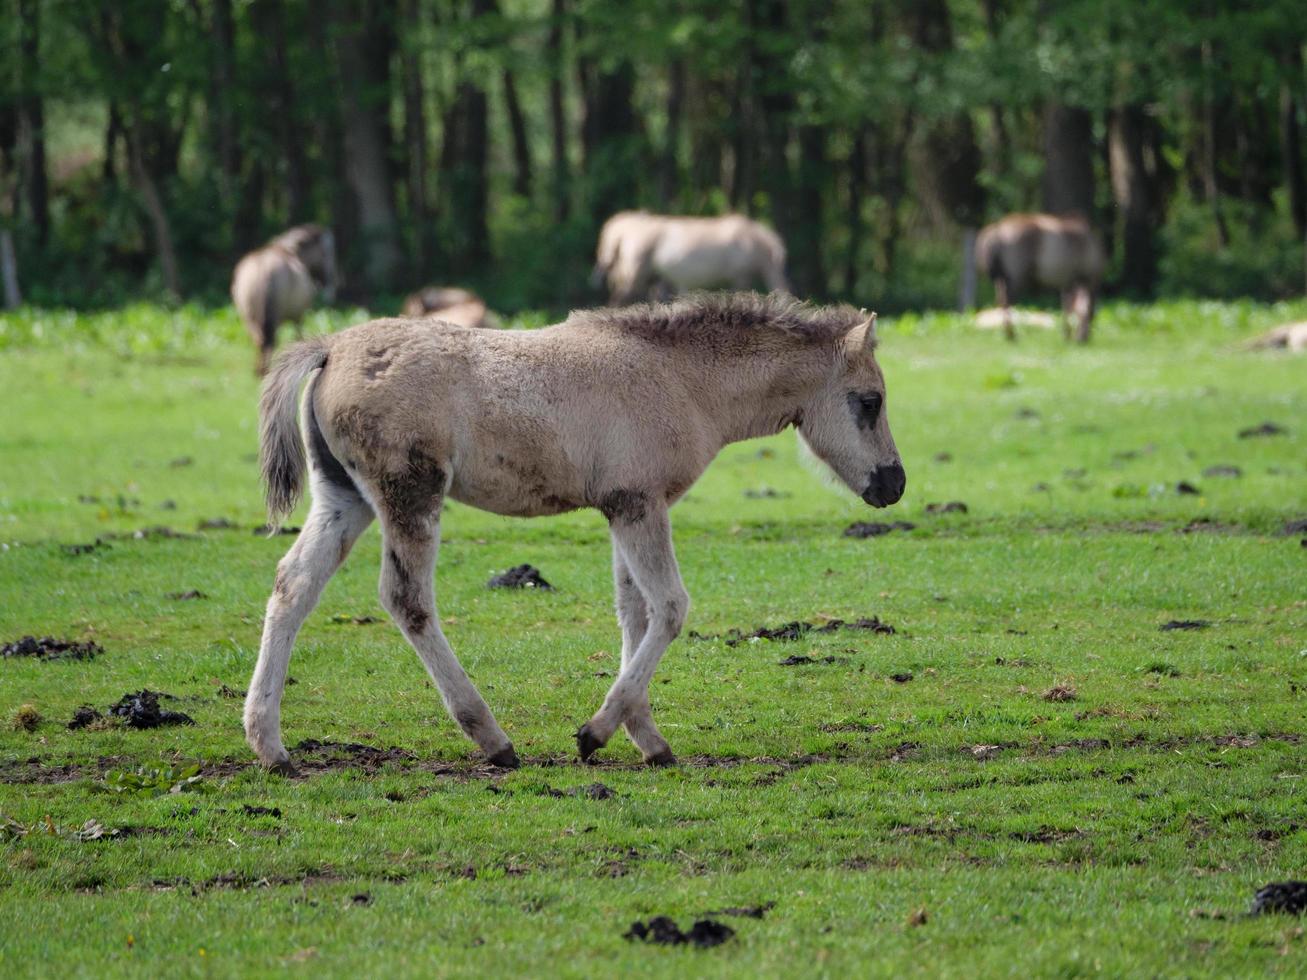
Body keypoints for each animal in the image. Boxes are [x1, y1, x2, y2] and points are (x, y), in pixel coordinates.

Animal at [233, 226, 339, 376]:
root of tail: (264, 269)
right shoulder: (298, 316)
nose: (332, 285)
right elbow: (298, 338)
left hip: (249, 317)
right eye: (327, 254)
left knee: (259, 340)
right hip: (274, 317)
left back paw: (259, 370)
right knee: (269, 340)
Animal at [247, 291, 909, 773]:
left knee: (291, 585)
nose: (894, 483)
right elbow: (671, 608)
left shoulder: (626, 509)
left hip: (344, 499)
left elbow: (634, 614)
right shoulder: (640, 506)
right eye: (869, 401)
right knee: (406, 599)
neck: (682, 378)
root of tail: (331, 347)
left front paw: (647, 739)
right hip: (409, 493)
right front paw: (596, 732)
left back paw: (270, 746)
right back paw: (493, 740)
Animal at [982, 212, 1103, 342]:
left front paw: (1067, 334)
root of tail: (998, 229)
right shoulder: (1086, 280)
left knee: (1001, 301)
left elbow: (1068, 308)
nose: (1083, 339)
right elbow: (1079, 307)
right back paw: (1011, 335)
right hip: (1015, 279)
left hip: (1001, 279)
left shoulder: (1069, 283)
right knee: (1007, 302)